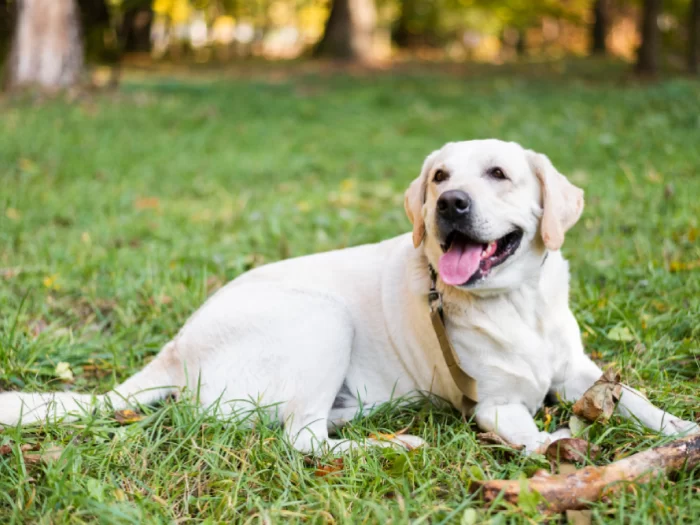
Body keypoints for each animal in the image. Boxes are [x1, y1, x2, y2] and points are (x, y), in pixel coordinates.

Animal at [2, 140, 696, 454]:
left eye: (498, 174)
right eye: (440, 176)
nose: (449, 204)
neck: (515, 302)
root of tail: (174, 347)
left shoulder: (579, 371)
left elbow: (638, 400)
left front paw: (683, 429)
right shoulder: (495, 405)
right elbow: (534, 434)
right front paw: (562, 448)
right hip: (321, 318)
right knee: (300, 439)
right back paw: (394, 443)